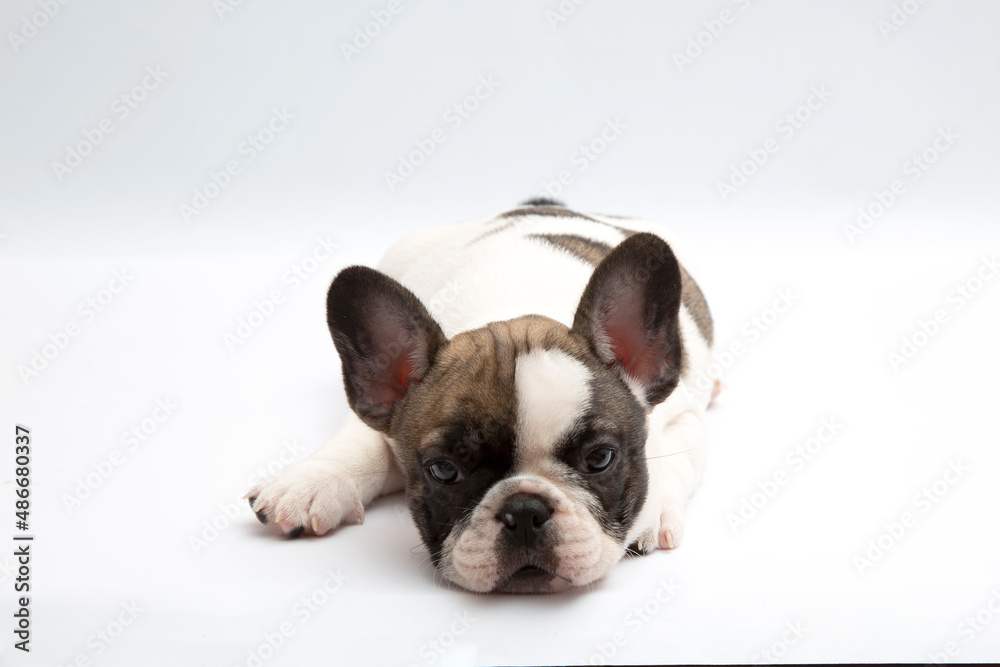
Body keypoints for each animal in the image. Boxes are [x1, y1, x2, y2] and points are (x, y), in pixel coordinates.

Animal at [246, 200, 716, 596]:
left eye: (600, 459)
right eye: (443, 471)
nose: (523, 510)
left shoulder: (685, 417)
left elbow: (675, 459)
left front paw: (652, 512)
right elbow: (358, 442)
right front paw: (310, 484)